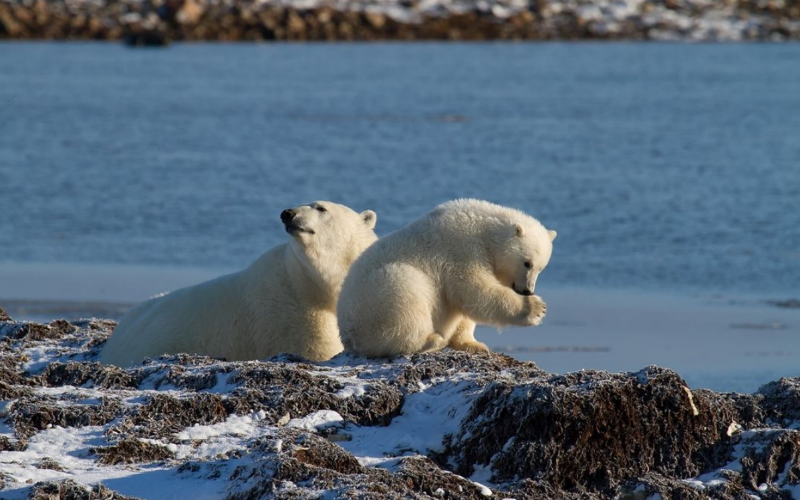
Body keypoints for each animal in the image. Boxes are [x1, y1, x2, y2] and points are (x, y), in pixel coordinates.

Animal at [338, 199, 556, 360]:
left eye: (541, 268)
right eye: (527, 263)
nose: (527, 290)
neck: (482, 229)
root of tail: (345, 332)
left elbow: (462, 306)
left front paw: (474, 345)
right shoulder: (462, 250)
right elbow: (474, 289)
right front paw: (536, 308)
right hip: (375, 299)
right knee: (406, 296)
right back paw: (432, 340)